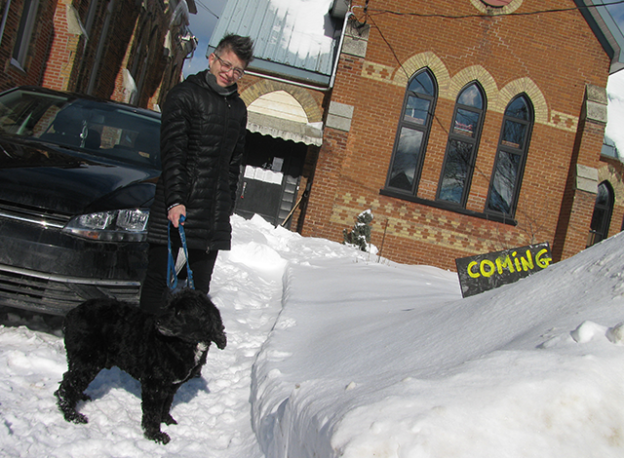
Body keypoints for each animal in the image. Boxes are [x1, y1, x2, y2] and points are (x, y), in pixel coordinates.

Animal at [53, 290, 224, 444]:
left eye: (180, 312)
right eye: (168, 307)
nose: (157, 321)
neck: (184, 344)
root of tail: (72, 313)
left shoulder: (171, 385)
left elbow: (166, 404)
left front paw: (166, 420)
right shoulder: (154, 384)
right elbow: (152, 412)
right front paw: (155, 435)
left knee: (70, 380)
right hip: (88, 360)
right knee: (66, 387)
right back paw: (72, 415)